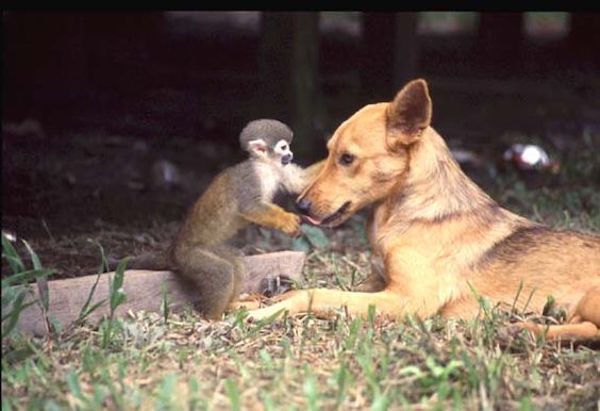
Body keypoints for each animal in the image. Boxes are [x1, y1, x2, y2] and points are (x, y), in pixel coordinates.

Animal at [119, 117, 322, 320]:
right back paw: (213, 319)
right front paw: (286, 220)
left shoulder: (280, 169)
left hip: (211, 249)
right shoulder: (249, 179)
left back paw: (233, 303)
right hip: (191, 258)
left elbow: (300, 181)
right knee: (222, 273)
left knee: (236, 263)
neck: (265, 167)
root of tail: (173, 249)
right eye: (283, 147)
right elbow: (250, 207)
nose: (290, 154)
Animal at [247, 79, 600, 340]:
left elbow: (314, 293)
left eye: (347, 158)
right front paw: (255, 299)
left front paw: (266, 311)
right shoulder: (375, 285)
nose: (300, 205)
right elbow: (309, 289)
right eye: (329, 152)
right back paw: (526, 330)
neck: (404, 217)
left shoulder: (406, 300)